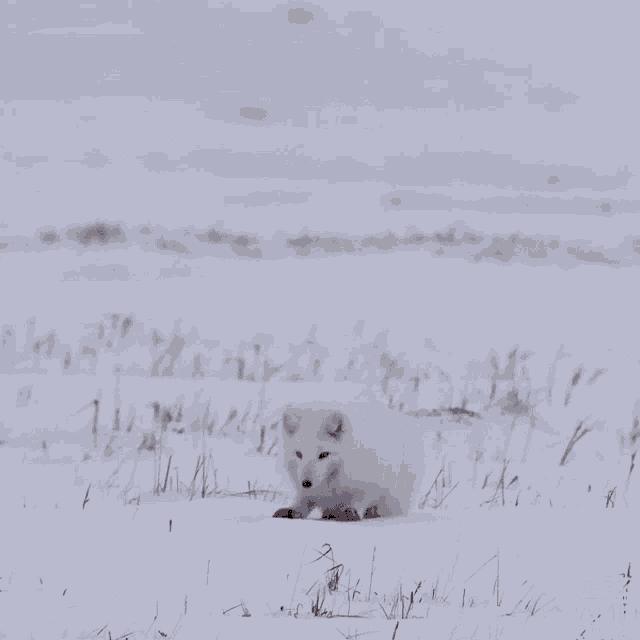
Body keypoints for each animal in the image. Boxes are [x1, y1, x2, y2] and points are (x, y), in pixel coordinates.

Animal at [272, 399, 426, 521]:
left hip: (392, 502)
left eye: (323, 454)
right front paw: (292, 510)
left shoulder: (365, 485)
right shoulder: (307, 492)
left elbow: (358, 500)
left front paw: (348, 511)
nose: (306, 483)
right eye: (299, 454)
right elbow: (303, 502)